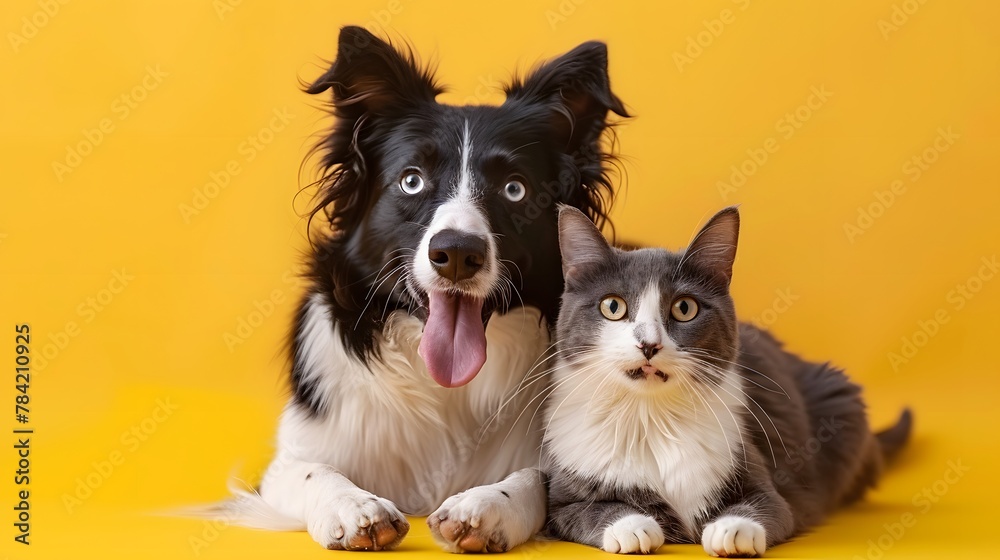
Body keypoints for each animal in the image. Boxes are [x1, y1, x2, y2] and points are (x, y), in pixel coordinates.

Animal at [230, 26, 628, 552]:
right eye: (412, 181)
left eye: (514, 189)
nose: (457, 253)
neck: (445, 385)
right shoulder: (287, 462)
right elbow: (314, 472)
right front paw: (354, 508)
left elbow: (536, 479)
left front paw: (486, 506)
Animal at [544, 206, 912, 556]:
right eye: (612, 306)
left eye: (684, 308)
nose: (649, 344)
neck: (652, 417)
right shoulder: (562, 495)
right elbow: (585, 510)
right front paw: (632, 526)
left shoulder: (756, 468)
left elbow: (769, 506)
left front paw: (733, 529)